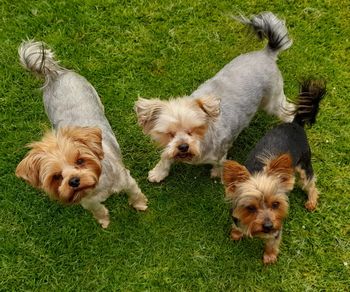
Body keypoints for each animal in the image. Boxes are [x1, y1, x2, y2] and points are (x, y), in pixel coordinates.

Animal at [16, 40, 148, 228]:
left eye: (80, 161)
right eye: (57, 176)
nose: (74, 181)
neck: (97, 184)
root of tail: (54, 73)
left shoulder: (126, 180)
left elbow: (135, 194)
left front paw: (140, 204)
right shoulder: (88, 202)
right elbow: (98, 210)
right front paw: (104, 221)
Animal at [134, 13, 296, 182]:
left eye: (194, 130)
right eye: (169, 134)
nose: (183, 146)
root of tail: (267, 53)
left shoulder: (221, 152)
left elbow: (220, 163)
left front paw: (218, 173)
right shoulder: (169, 147)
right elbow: (166, 156)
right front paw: (159, 172)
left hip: (272, 102)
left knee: (288, 108)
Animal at [223, 78, 326, 264]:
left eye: (276, 204)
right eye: (250, 208)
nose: (268, 226)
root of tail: (295, 123)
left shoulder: (276, 229)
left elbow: (272, 241)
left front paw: (270, 256)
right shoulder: (236, 213)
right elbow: (237, 225)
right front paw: (236, 233)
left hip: (304, 164)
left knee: (310, 183)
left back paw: (311, 201)